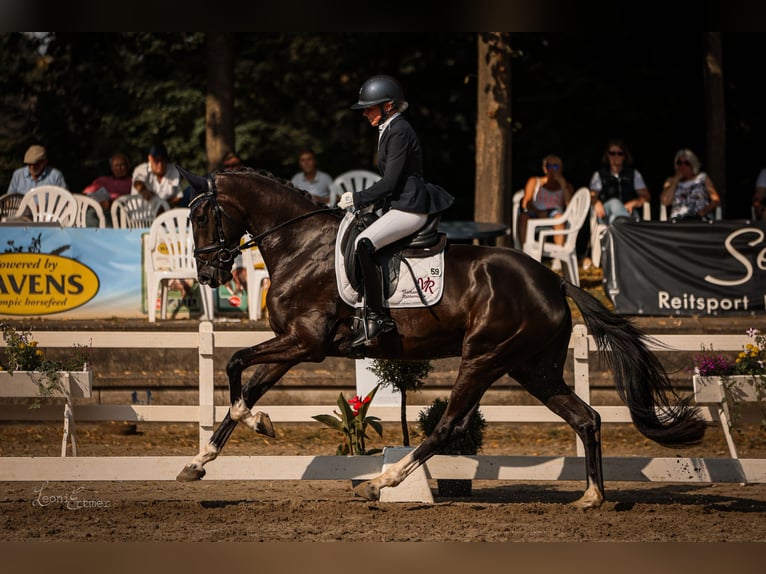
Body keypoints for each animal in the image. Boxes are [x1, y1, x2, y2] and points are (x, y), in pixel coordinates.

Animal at [177, 165, 704, 508]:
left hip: (485, 358)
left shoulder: (306, 342)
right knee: (586, 417)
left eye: (202, 218)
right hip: (532, 367)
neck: (300, 245)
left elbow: (234, 365)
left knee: (449, 425)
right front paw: (201, 460)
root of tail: (553, 280)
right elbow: (247, 385)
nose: (206, 274)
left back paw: (381, 482)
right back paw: (591, 497)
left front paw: (252, 424)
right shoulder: (293, 343)